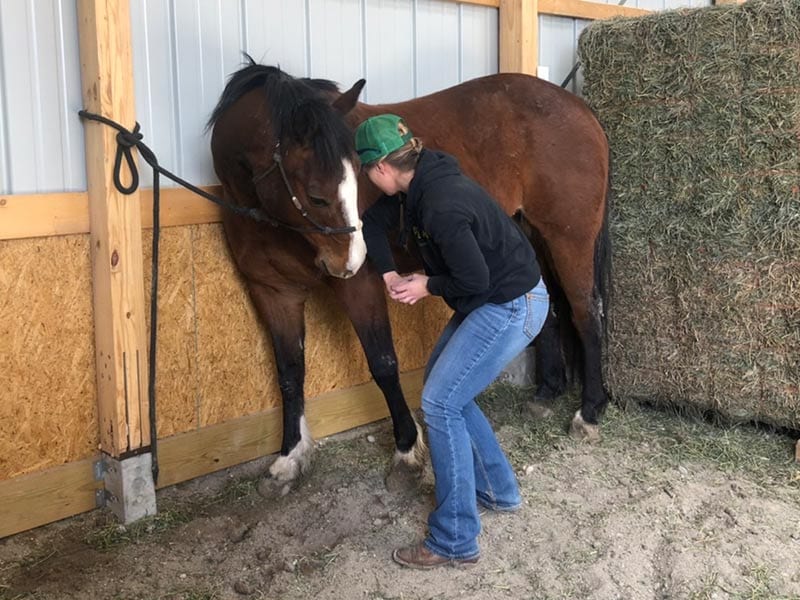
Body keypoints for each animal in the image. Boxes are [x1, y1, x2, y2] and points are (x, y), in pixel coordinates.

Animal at [209, 59, 608, 482]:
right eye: (317, 196)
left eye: (357, 178)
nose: (352, 260)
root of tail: (580, 110)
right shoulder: (274, 293)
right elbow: (289, 373)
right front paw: (290, 455)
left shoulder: (360, 286)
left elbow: (383, 362)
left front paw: (406, 446)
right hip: (530, 237)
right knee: (547, 309)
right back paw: (547, 394)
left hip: (569, 239)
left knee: (586, 313)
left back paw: (589, 411)